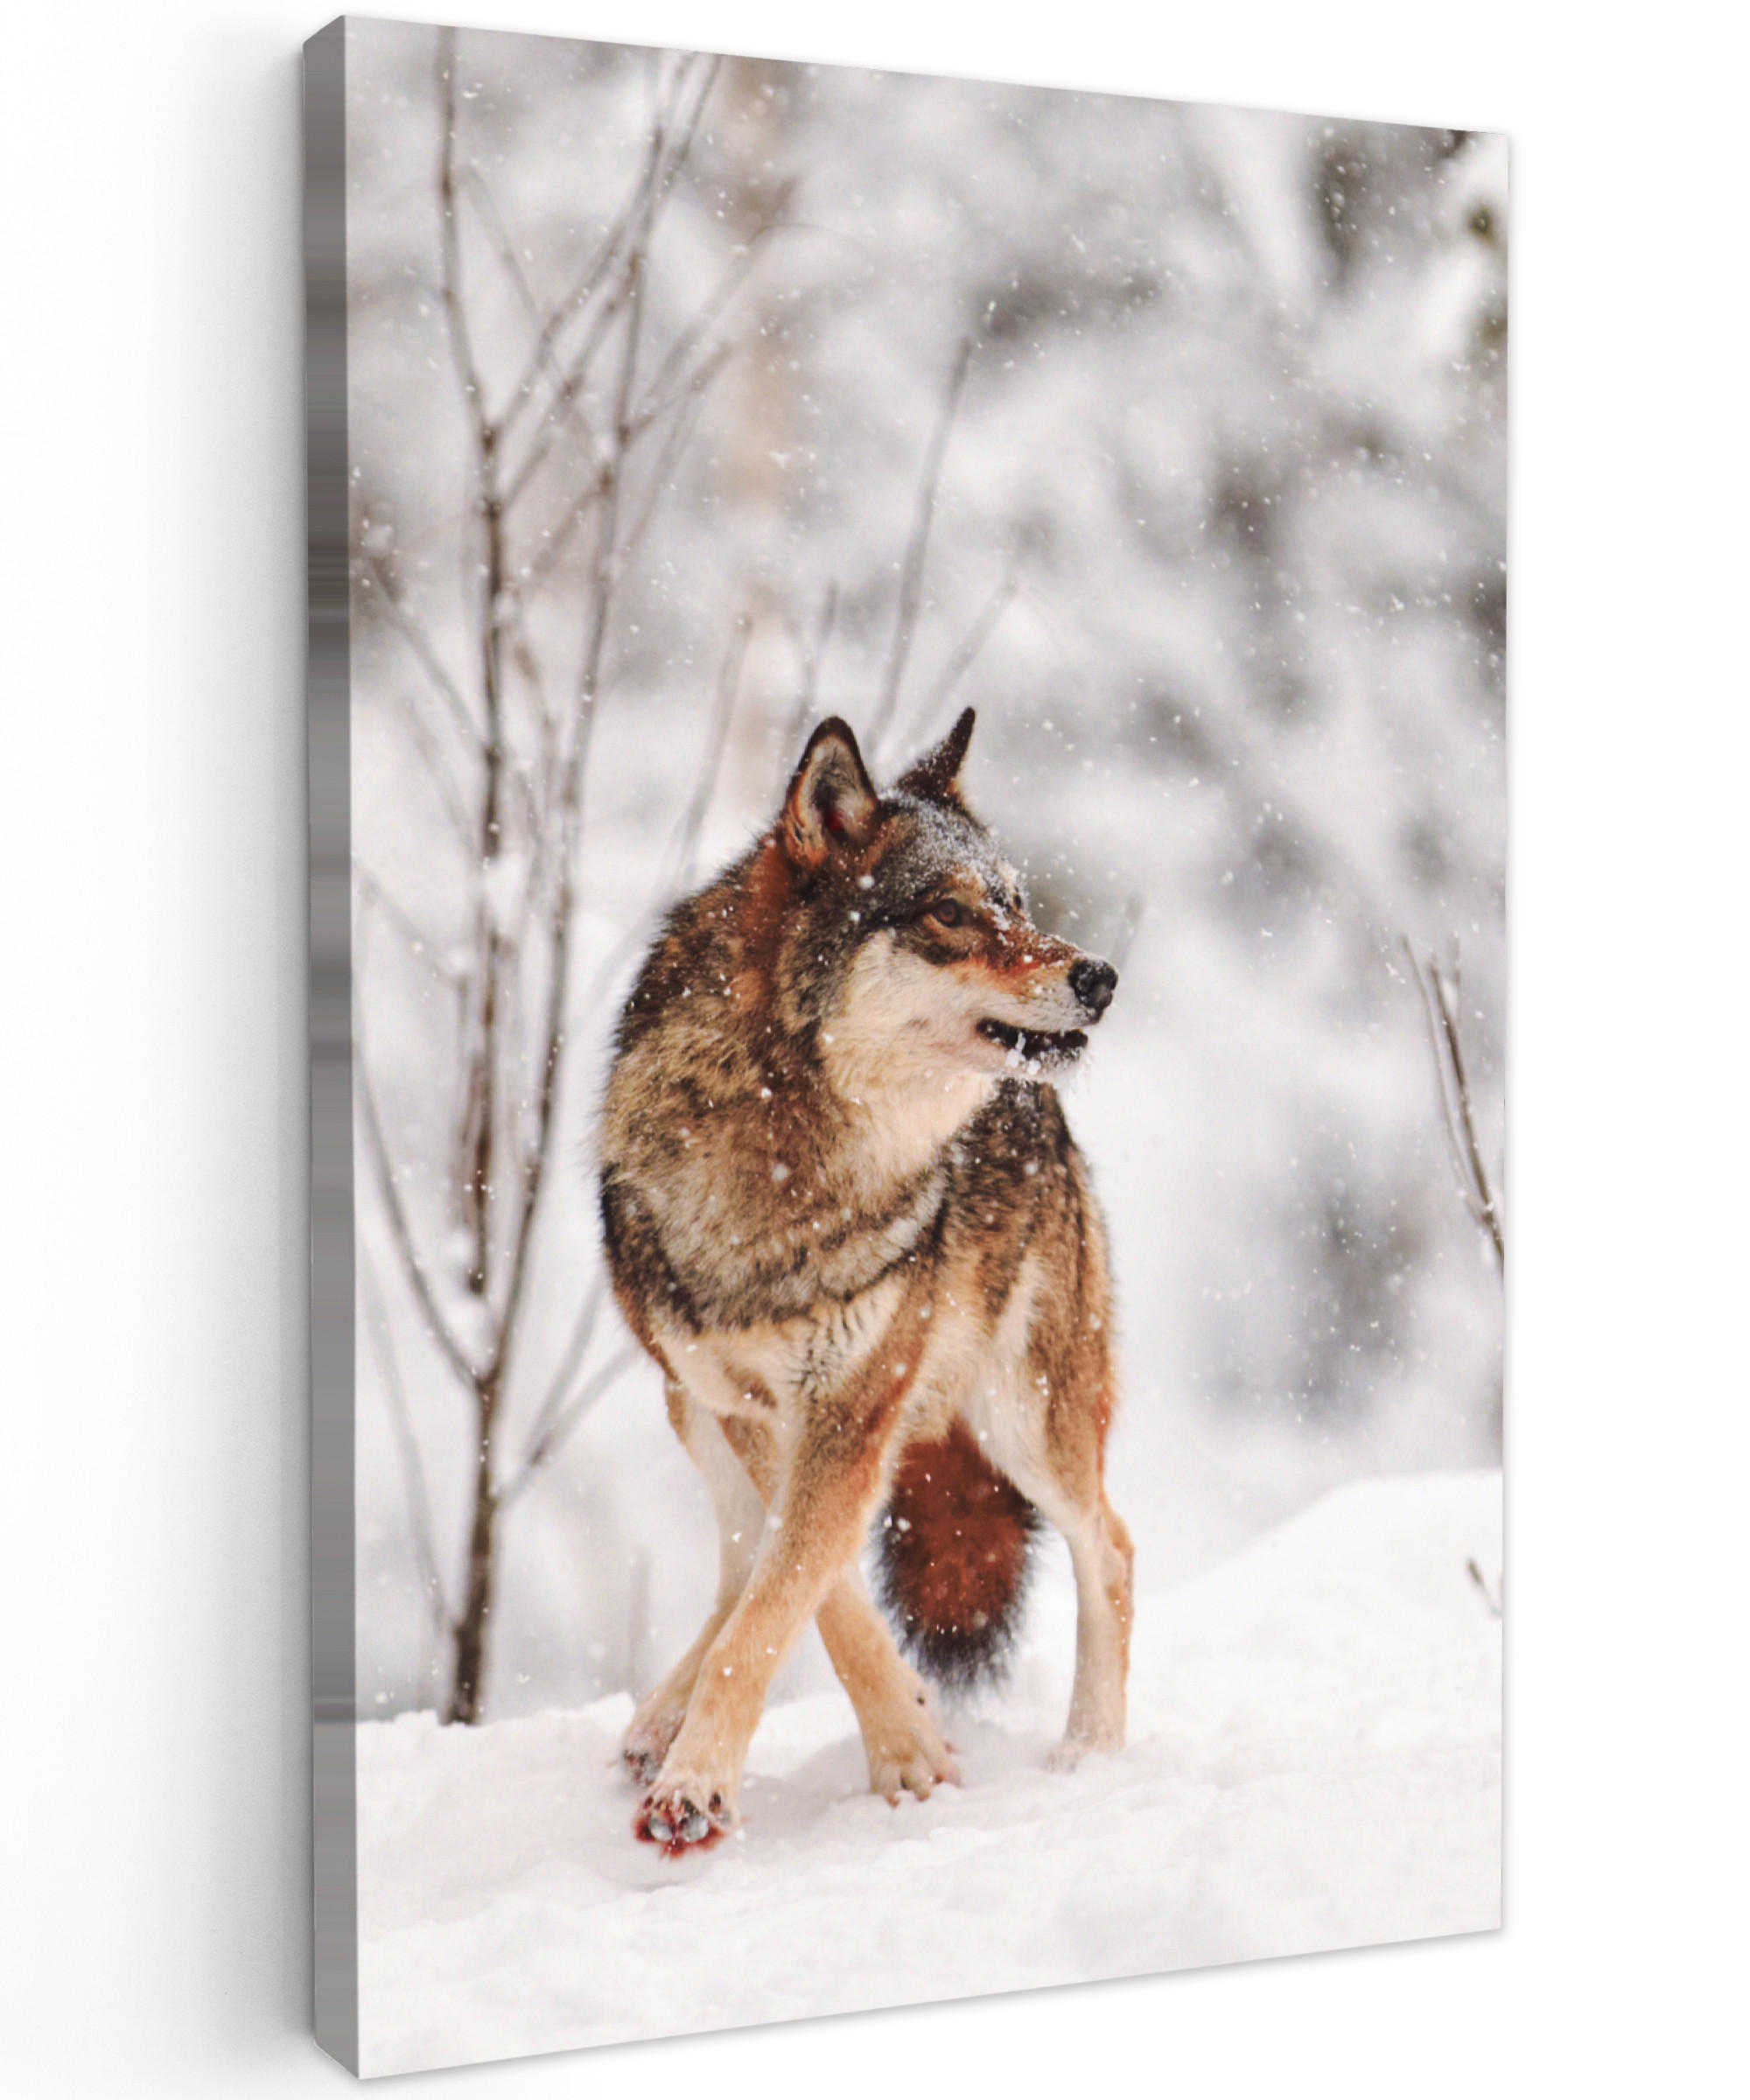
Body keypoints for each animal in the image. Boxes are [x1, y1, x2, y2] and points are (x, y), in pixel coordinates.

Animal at [599, 707, 1132, 1855]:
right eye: (950, 913)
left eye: (1017, 902)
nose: (1100, 977)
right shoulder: (756, 1408)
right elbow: (809, 1593)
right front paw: (907, 1748)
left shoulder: (850, 1407)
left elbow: (784, 1599)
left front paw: (700, 1787)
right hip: (689, 1409)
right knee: (738, 1558)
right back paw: (655, 1723)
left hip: (1025, 1418)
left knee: (1108, 1546)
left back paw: (1090, 1754)